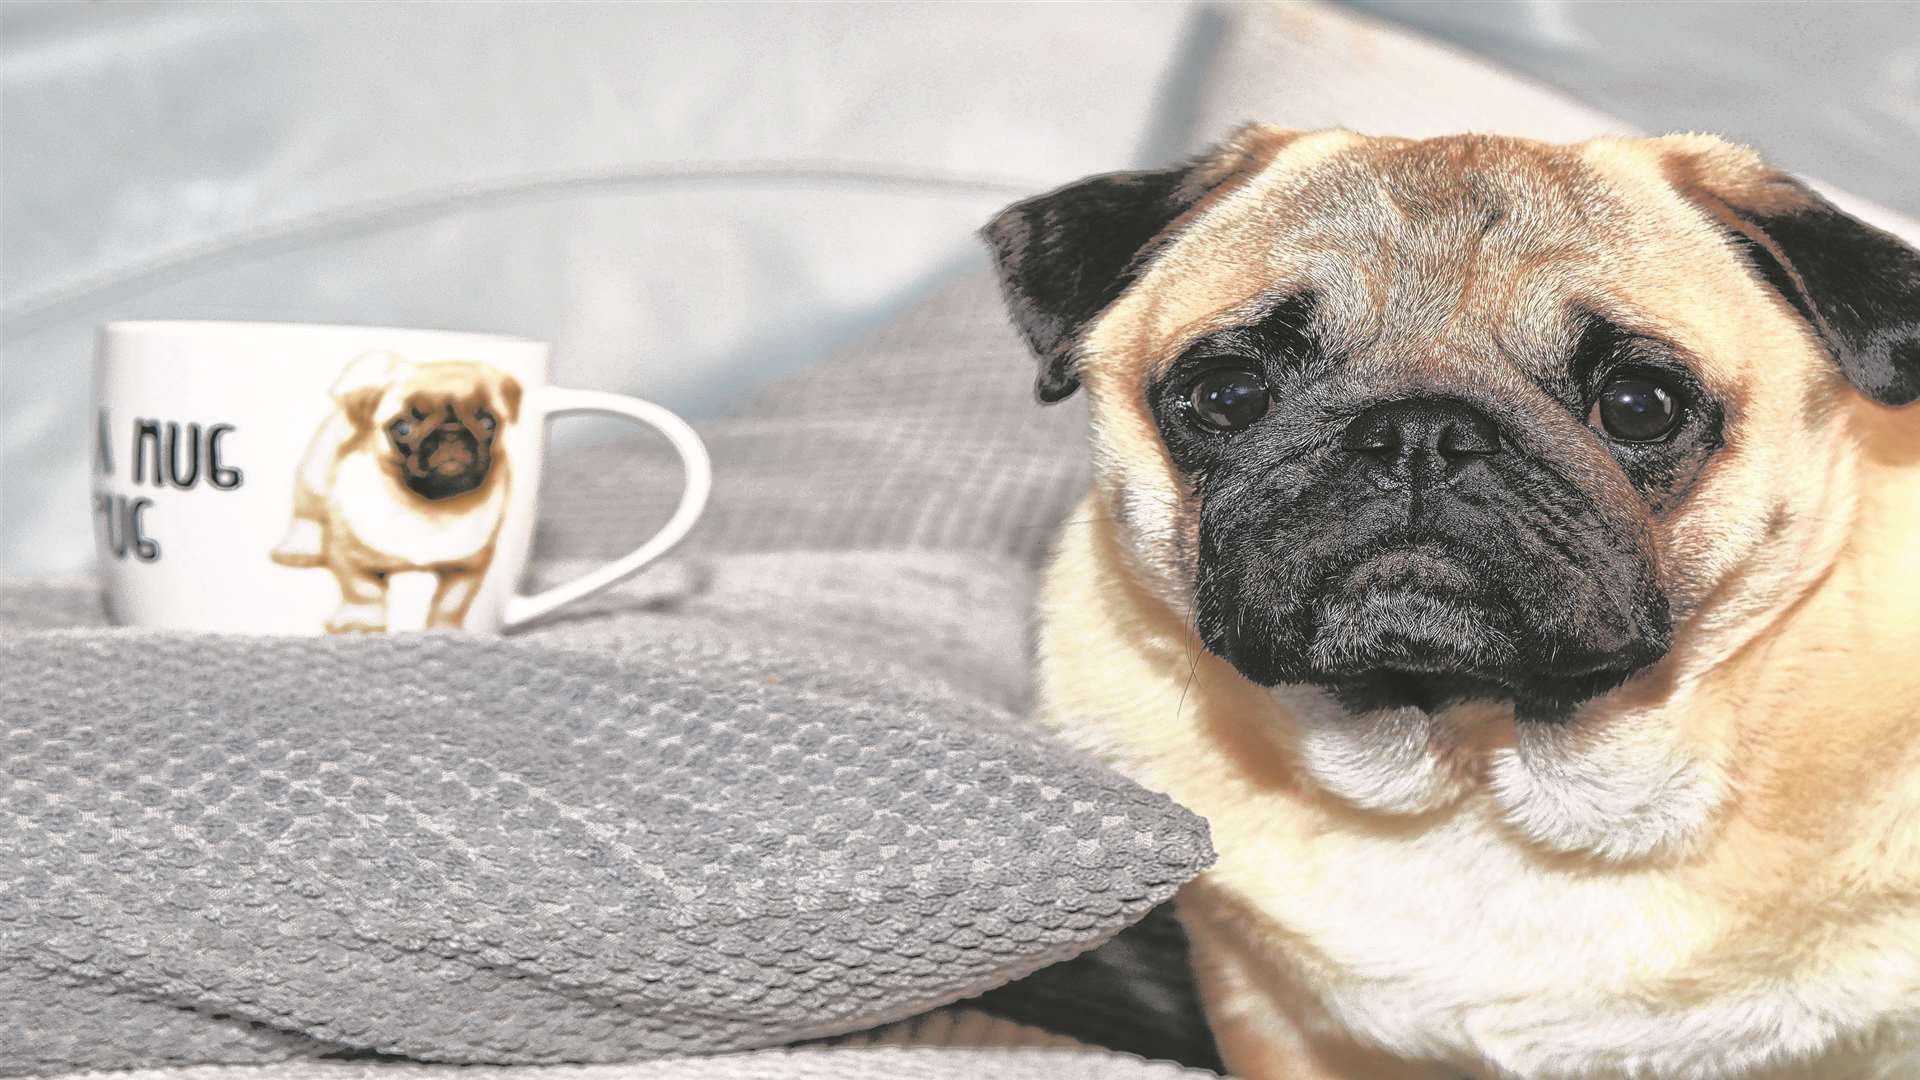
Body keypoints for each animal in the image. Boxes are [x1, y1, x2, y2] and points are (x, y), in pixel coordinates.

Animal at [270, 351, 522, 630]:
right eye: (403, 428)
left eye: (488, 422)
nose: (451, 433)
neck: (427, 508)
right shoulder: (351, 555)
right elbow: (363, 591)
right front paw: (360, 623)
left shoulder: (468, 567)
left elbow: (452, 603)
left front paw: (444, 629)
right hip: (313, 476)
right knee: (307, 514)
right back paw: (299, 548)